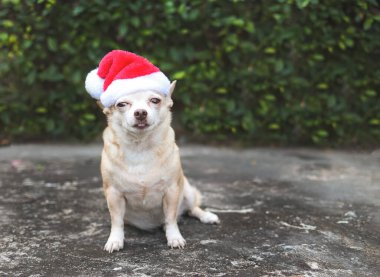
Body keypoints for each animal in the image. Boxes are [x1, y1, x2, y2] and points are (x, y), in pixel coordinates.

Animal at [101, 80, 220, 252]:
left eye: (155, 100)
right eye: (121, 104)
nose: (140, 112)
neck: (140, 147)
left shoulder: (171, 191)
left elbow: (170, 218)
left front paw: (174, 237)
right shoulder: (113, 194)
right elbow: (117, 221)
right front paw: (115, 240)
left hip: (187, 191)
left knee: (192, 209)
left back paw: (207, 216)